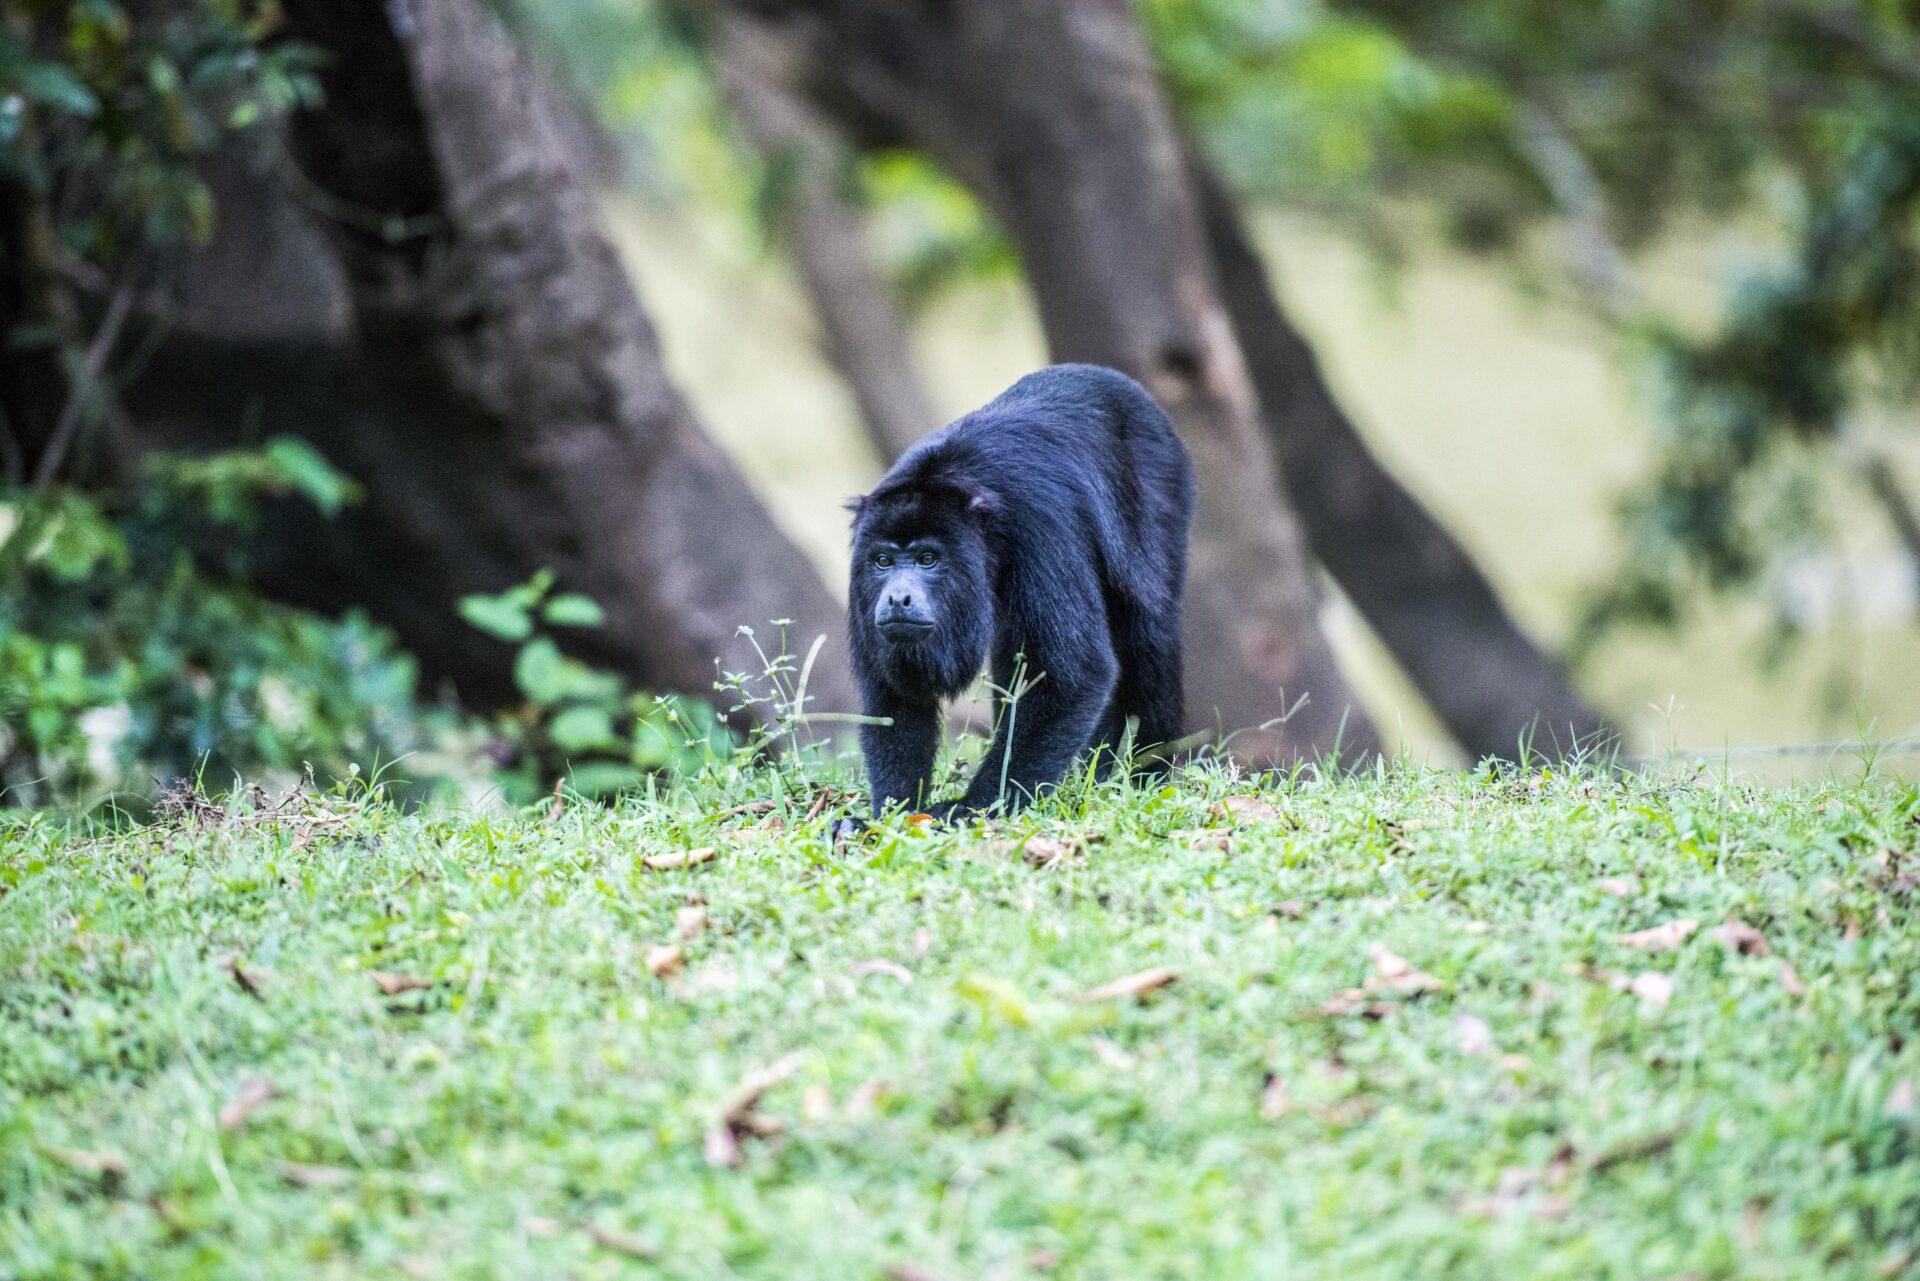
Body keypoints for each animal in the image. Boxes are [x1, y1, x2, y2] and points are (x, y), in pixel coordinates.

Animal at [845, 363, 1193, 820]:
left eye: (927, 559)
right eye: (883, 561)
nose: (897, 597)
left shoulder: (1038, 523)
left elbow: (1073, 676)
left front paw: (973, 808)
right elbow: (895, 695)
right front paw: (891, 814)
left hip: (1167, 489)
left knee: (1147, 630)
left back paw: (1150, 778)